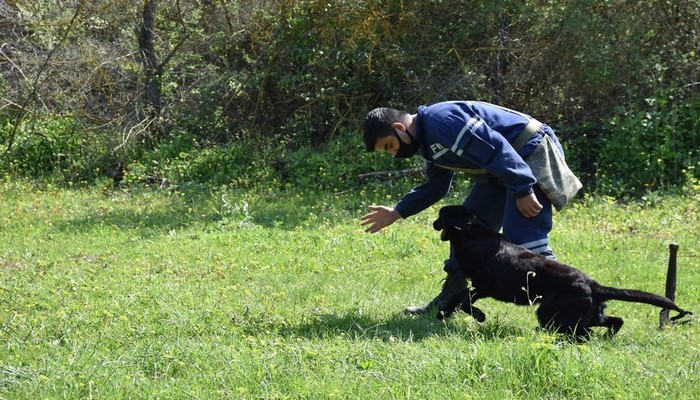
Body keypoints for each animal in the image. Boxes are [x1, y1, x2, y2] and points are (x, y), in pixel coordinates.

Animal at [432, 205, 688, 340]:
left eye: (441, 216)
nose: (433, 223)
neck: (472, 234)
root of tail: (594, 285)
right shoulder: (477, 284)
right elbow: (458, 297)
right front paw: (442, 313)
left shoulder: (484, 284)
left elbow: (465, 300)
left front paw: (479, 316)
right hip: (589, 314)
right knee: (613, 321)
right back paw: (607, 337)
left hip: (550, 312)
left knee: (581, 333)